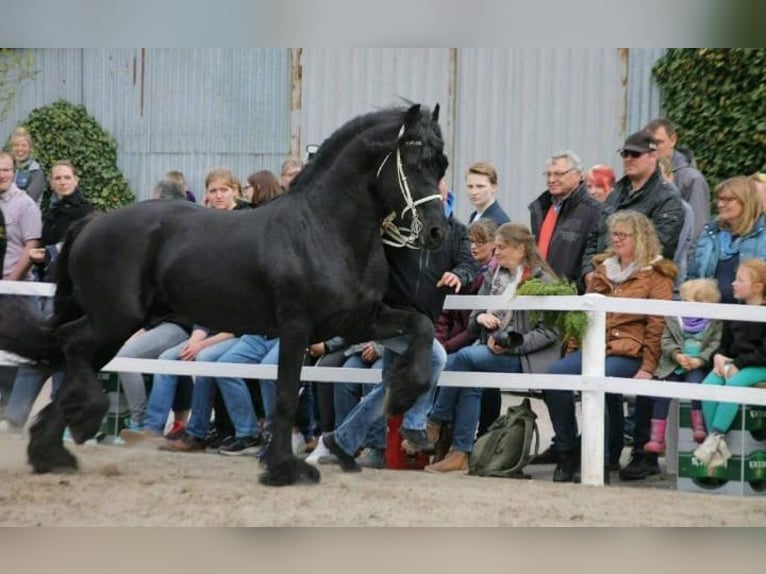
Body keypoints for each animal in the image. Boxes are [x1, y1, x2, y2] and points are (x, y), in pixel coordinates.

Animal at [0, 103, 450, 486]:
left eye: (441, 164)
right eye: (414, 163)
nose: (435, 232)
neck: (325, 229)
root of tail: (90, 225)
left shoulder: (356, 321)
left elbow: (421, 325)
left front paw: (403, 391)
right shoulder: (297, 327)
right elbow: (285, 395)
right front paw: (283, 470)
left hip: (113, 328)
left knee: (69, 352)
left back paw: (52, 452)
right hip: (113, 321)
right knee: (71, 345)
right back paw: (77, 426)